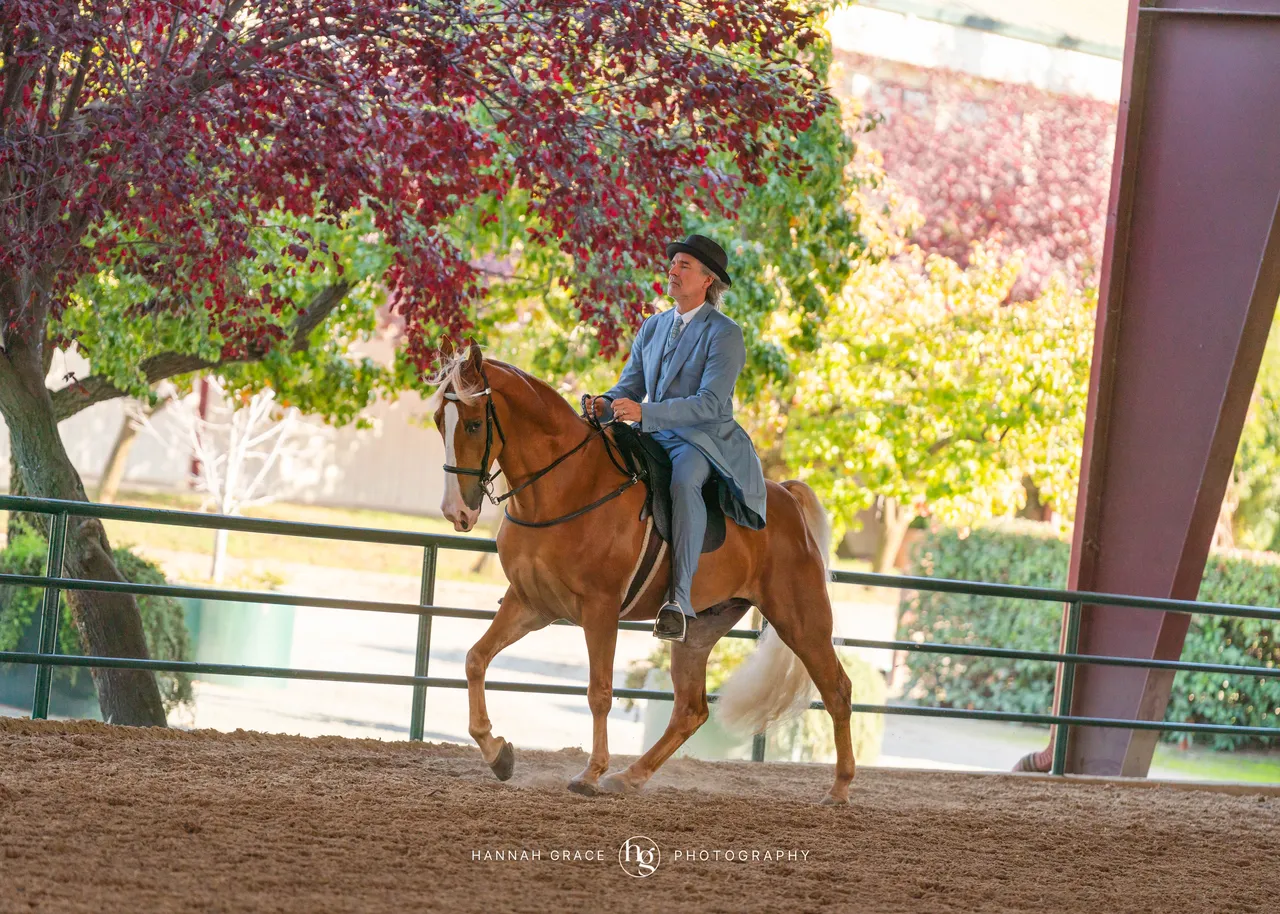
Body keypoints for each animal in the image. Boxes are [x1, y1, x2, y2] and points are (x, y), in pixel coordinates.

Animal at [428, 344, 856, 805]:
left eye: (474, 424)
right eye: (438, 422)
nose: (456, 511)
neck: (566, 486)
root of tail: (785, 498)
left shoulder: (599, 611)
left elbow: (599, 692)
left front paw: (590, 773)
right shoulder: (530, 604)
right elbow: (476, 659)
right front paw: (497, 753)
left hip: (801, 621)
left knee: (838, 691)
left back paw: (840, 788)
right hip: (698, 632)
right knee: (690, 710)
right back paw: (631, 776)